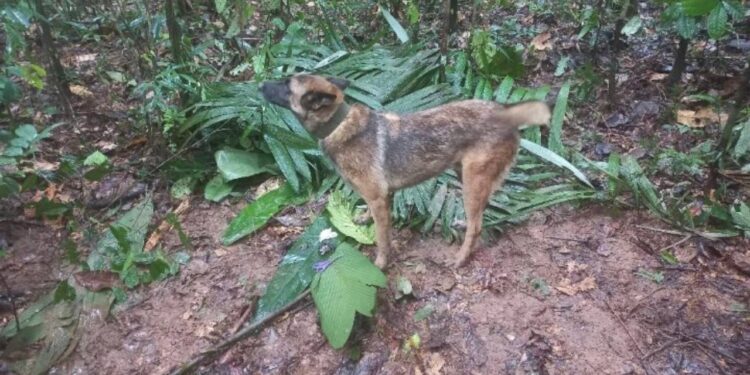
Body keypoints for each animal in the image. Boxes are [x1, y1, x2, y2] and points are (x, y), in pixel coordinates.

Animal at [262, 74, 552, 268]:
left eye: (286, 85)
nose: (260, 84)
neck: (338, 124)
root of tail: (505, 112)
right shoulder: (382, 196)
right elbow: (371, 216)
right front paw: (364, 218)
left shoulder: (379, 198)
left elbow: (382, 239)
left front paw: (380, 264)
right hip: (466, 175)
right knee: (481, 211)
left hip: (472, 180)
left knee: (477, 225)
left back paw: (460, 258)